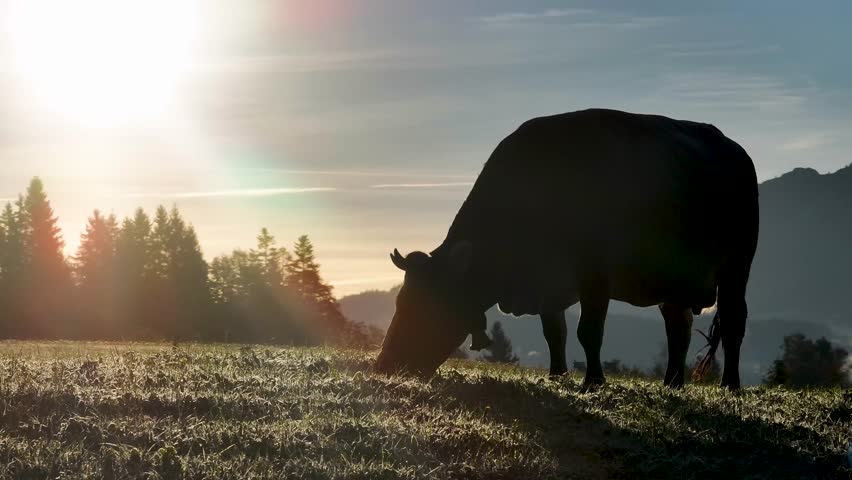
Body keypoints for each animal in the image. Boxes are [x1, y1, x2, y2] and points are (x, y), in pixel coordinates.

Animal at [375, 108, 759, 389]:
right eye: (400, 302)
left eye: (428, 306)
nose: (385, 366)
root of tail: (736, 150)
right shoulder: (547, 284)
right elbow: (554, 332)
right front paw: (556, 376)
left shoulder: (594, 274)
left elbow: (588, 330)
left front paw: (593, 381)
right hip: (674, 281)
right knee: (678, 327)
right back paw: (673, 383)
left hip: (737, 264)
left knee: (734, 322)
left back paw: (730, 384)